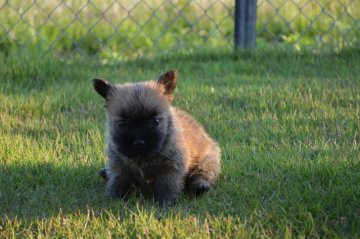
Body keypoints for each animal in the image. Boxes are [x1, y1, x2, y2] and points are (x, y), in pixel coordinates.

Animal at [93, 70, 219, 204]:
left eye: (155, 120)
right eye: (123, 123)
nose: (139, 143)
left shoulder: (171, 167)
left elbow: (167, 184)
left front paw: (164, 201)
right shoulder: (118, 164)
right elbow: (119, 181)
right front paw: (114, 197)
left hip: (208, 161)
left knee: (203, 173)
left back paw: (200, 185)